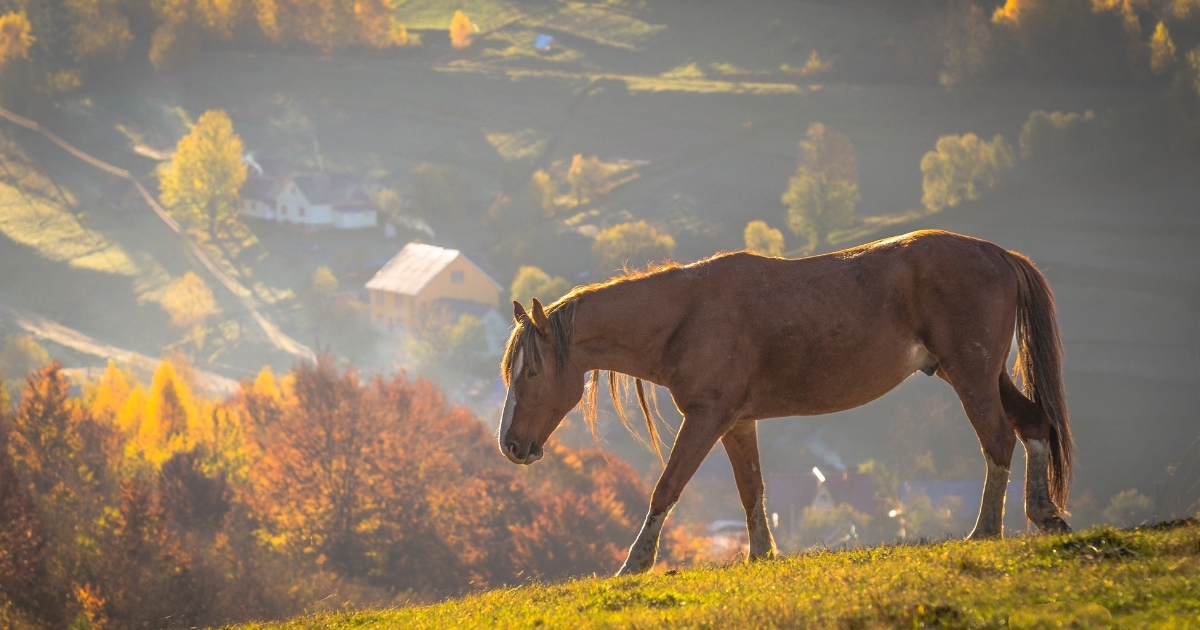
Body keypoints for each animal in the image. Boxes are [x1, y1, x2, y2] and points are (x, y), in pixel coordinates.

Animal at [492, 228, 1075, 571]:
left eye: (532, 370)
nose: (511, 446)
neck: (685, 316)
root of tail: (997, 253)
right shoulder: (735, 422)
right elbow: (752, 490)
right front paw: (761, 554)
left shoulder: (706, 418)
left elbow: (667, 487)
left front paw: (635, 563)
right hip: (976, 373)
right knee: (1034, 425)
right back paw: (1043, 513)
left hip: (972, 374)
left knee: (998, 440)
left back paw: (986, 531)